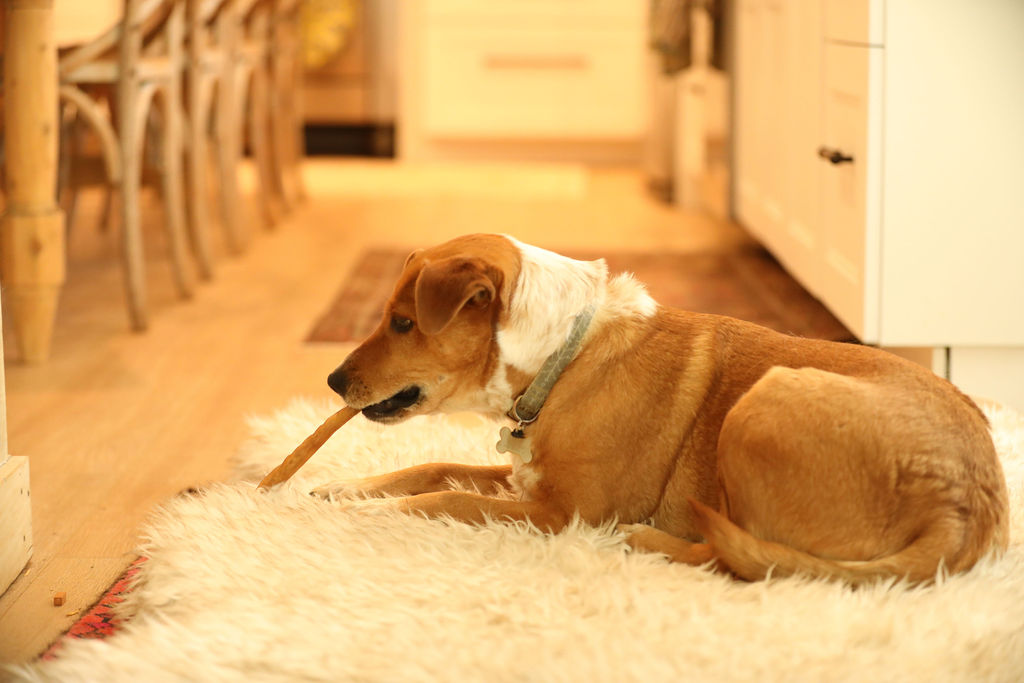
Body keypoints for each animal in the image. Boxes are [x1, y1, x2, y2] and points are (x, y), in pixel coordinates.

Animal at [317, 233, 1007, 581]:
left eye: (404, 323)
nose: (331, 380)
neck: (565, 355)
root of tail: (967, 507)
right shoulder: (526, 481)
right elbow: (433, 468)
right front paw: (346, 489)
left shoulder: (564, 513)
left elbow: (447, 498)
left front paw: (376, 514)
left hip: (763, 401)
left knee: (733, 557)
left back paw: (643, 541)